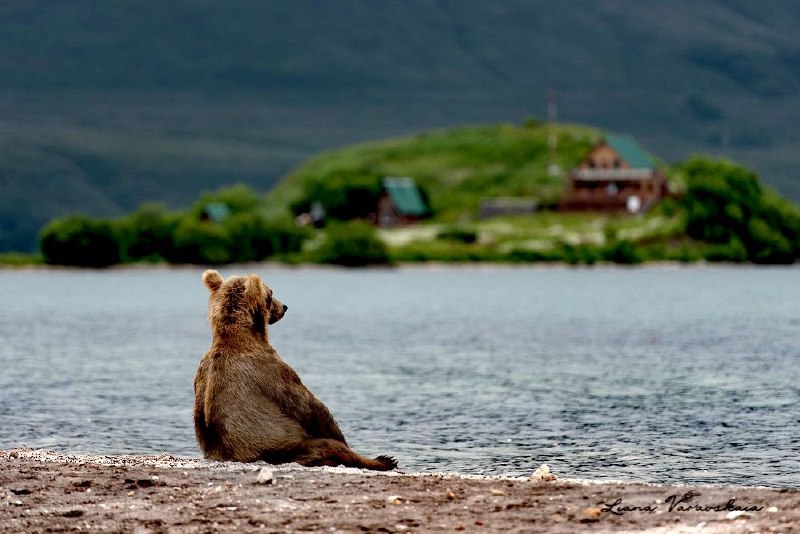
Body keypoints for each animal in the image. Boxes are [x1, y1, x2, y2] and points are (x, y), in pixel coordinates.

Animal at [191, 270, 396, 472]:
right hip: (288, 447)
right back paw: (382, 460)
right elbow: (309, 407)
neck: (241, 335)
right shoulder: (273, 371)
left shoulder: (201, 372)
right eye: (271, 293)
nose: (284, 307)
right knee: (329, 445)